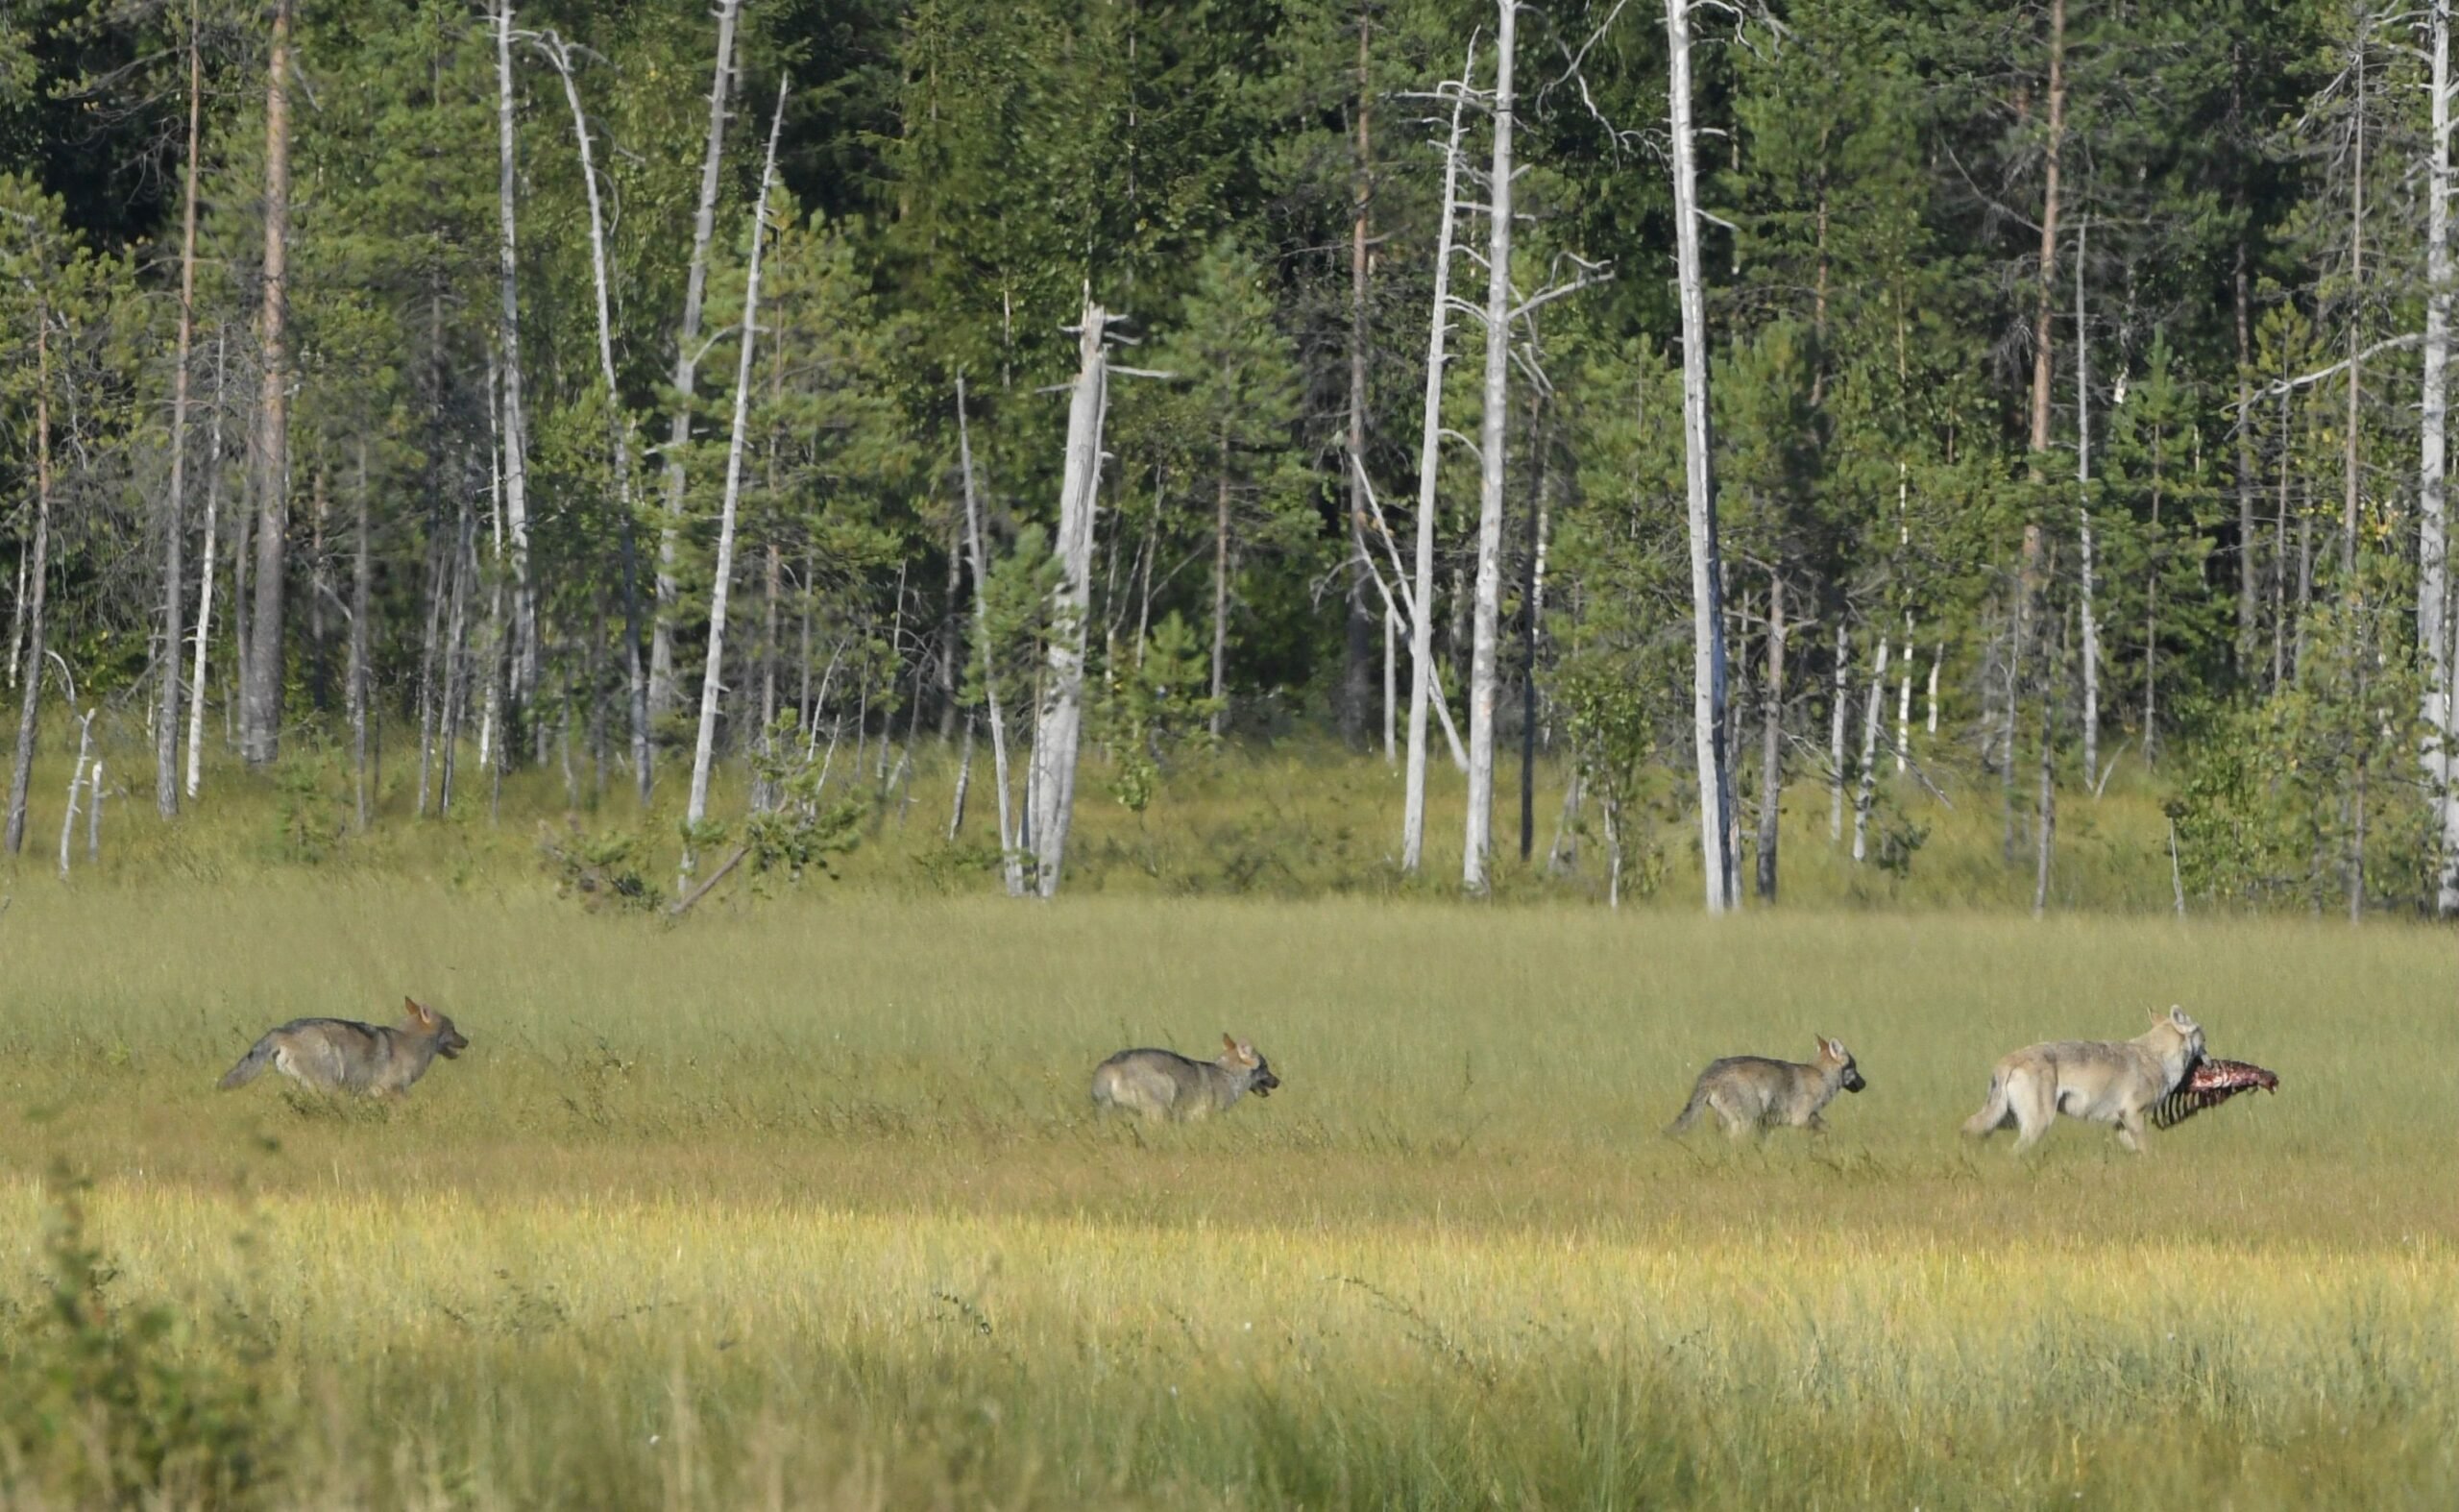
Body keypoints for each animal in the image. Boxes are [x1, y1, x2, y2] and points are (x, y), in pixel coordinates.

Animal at [223, 998, 472, 1096]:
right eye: (453, 1029)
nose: (468, 1041)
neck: (410, 1042)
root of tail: (281, 1030)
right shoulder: (393, 1092)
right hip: (328, 1085)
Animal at [1671, 1042, 1859, 1135]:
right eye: (1855, 1067)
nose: (1863, 1083)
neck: (1821, 1074)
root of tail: (1709, 1074)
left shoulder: (1766, 1125)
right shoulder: (1801, 1119)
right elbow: (1825, 1129)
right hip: (1743, 1124)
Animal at [1957, 1008, 2213, 1160]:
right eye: (2204, 1040)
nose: (2211, 1063)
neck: (2156, 1056)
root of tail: (2008, 1060)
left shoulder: (2121, 1123)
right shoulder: (2134, 1115)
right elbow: (2147, 1150)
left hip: (2005, 1121)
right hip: (2036, 1125)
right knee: (2013, 1152)